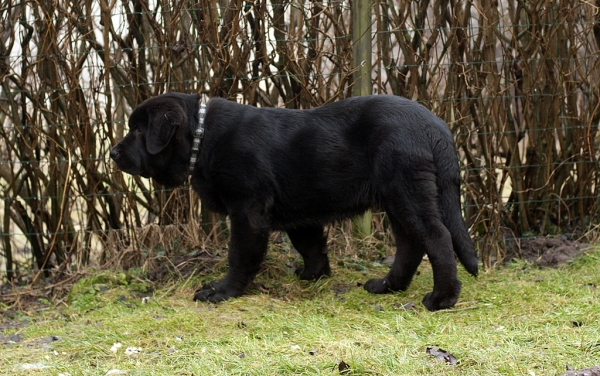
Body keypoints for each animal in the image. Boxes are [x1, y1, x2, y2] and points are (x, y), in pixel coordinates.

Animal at [111, 92, 478, 310]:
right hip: (396, 196)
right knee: (410, 243)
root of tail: (435, 125)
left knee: (437, 237)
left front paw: (222, 292)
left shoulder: (247, 210)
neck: (203, 137)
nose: (113, 153)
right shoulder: (300, 211)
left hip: (407, 191)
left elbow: (240, 256)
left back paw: (442, 298)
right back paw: (389, 286)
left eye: (139, 131)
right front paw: (314, 275)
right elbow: (310, 244)